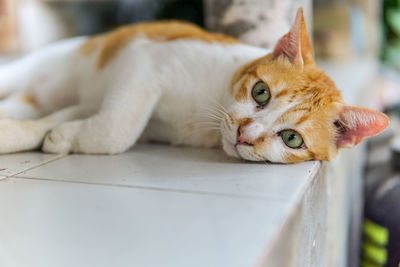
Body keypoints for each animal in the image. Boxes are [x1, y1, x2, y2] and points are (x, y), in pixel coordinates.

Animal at [0, 8, 390, 163]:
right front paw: (63, 136)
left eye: (292, 138)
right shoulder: (143, 60)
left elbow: (76, 119)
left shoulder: (100, 101)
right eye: (260, 92)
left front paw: (59, 134)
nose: (245, 135)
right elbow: (119, 129)